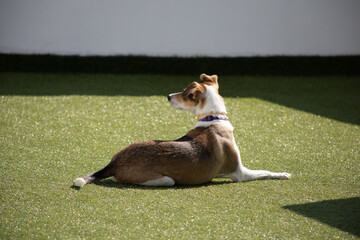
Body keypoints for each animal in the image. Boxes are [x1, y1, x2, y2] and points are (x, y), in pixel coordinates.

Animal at [73, 73, 290, 188]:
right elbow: (266, 171)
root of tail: (114, 163)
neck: (213, 119)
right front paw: (283, 174)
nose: (168, 96)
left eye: (186, 94)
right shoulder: (240, 173)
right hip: (166, 180)